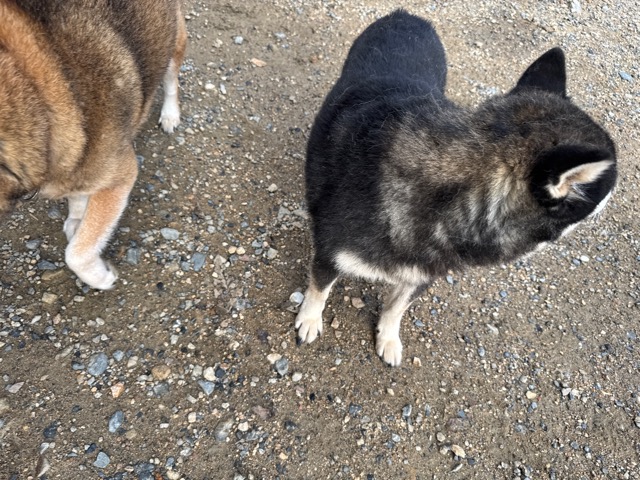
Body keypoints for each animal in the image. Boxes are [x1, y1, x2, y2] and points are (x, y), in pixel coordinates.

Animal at [0, 0, 187, 289]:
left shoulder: (121, 176)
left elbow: (77, 253)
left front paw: (100, 276)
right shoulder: (76, 170)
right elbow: (78, 201)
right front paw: (78, 220)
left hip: (174, 40)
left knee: (171, 81)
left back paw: (170, 114)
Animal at [295, 9, 617, 366]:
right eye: (607, 185)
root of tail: (404, 14)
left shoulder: (421, 276)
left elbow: (397, 308)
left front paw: (389, 337)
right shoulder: (329, 254)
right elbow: (319, 289)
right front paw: (309, 318)